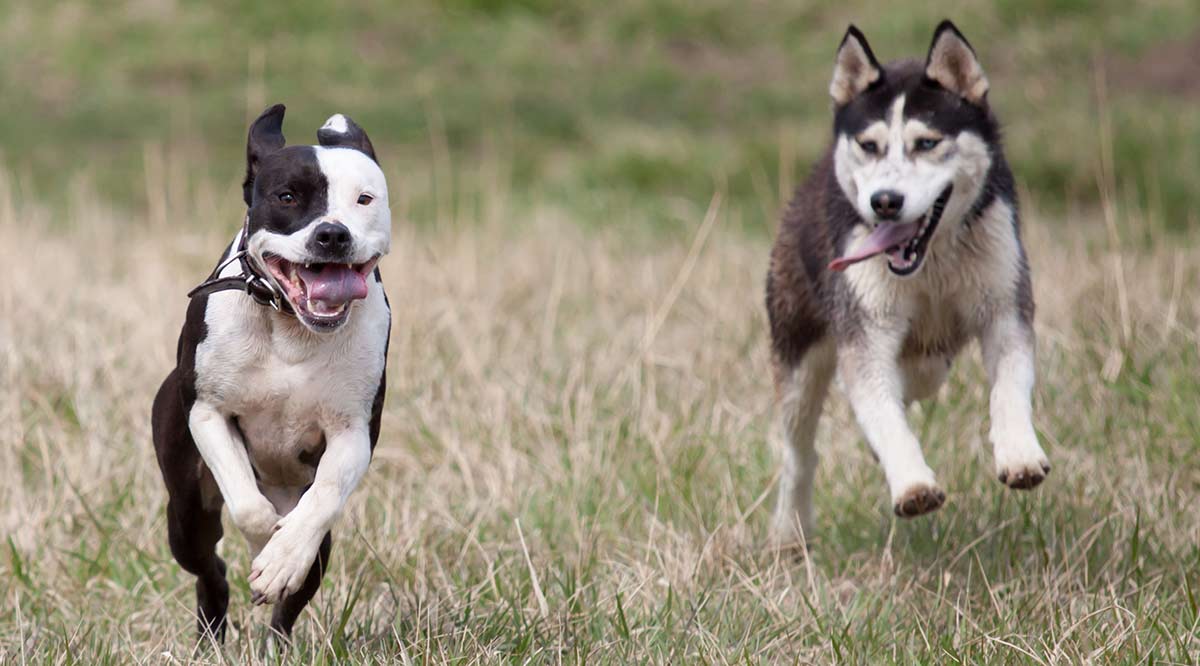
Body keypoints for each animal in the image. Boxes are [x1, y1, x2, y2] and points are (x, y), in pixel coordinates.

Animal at [152, 105, 391, 643]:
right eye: (287, 197)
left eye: (364, 199)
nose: (332, 234)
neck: (291, 326)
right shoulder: (209, 414)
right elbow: (248, 505)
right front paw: (265, 545)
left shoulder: (353, 433)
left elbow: (324, 495)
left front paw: (280, 560)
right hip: (186, 514)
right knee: (210, 567)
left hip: (318, 548)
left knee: (292, 599)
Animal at [768, 22, 1051, 547]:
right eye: (869, 145)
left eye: (926, 143)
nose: (884, 201)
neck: (931, 263)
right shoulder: (866, 333)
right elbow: (881, 412)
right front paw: (913, 484)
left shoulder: (1004, 306)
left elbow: (1008, 387)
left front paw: (1019, 454)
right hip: (797, 352)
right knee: (800, 453)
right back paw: (788, 530)